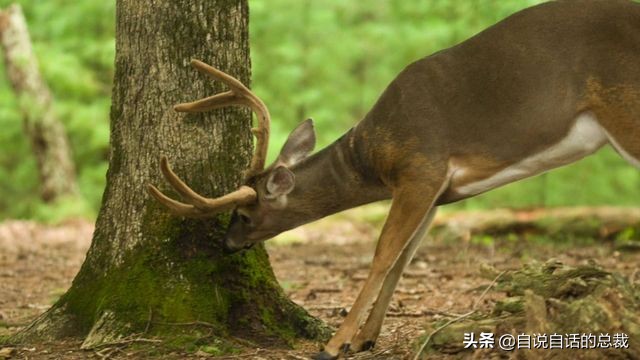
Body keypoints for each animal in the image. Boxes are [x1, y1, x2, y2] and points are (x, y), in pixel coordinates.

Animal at [148, 1, 640, 358]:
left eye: (246, 214)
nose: (227, 244)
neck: (371, 159)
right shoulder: (437, 190)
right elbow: (404, 259)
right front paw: (366, 337)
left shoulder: (421, 166)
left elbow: (383, 253)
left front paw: (335, 343)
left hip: (625, 110)